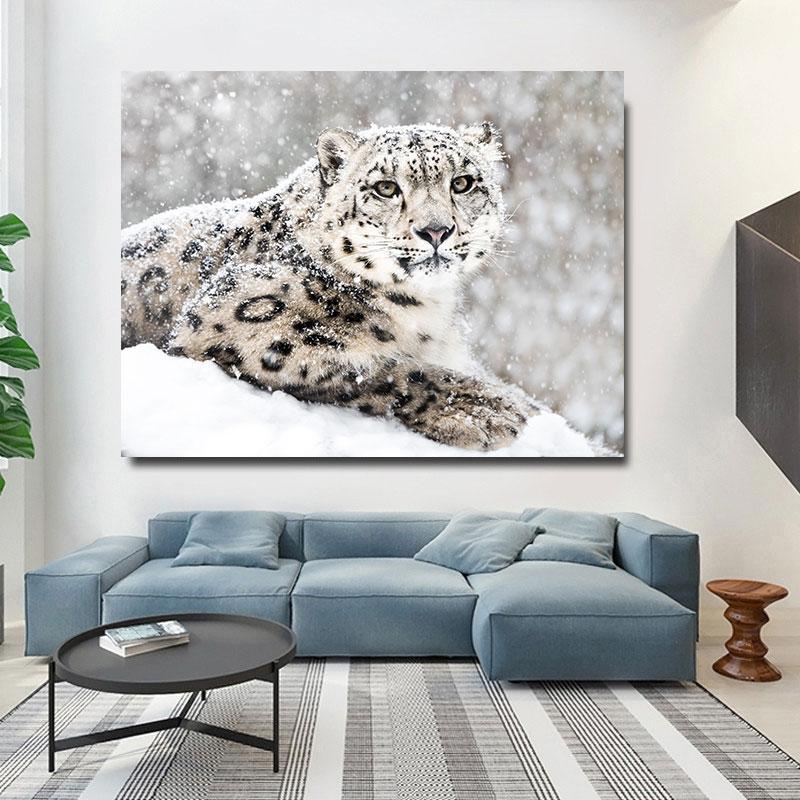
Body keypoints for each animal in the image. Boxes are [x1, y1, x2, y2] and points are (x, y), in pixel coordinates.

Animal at [121, 122, 539, 450]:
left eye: (463, 183)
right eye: (386, 187)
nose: (436, 230)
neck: (425, 310)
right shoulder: (233, 317)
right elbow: (368, 366)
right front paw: (482, 408)